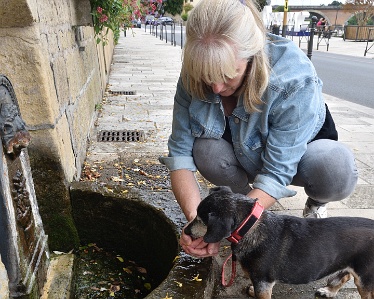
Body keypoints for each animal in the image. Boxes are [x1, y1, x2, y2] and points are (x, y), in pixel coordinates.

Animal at [186, 186, 374, 298]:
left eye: (201, 220)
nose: (185, 232)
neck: (251, 226)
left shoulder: (263, 281)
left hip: (365, 278)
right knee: (346, 274)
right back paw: (329, 290)